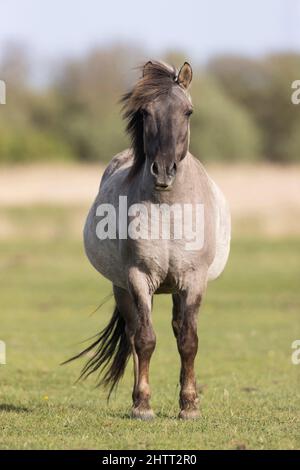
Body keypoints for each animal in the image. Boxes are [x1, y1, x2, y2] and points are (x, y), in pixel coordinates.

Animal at [69, 60, 231, 420]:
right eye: (145, 112)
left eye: (188, 112)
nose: (164, 171)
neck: (168, 208)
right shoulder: (138, 277)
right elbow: (145, 340)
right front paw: (143, 405)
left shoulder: (193, 280)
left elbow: (188, 340)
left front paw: (190, 406)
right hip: (123, 288)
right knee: (133, 335)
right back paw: (136, 398)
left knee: (176, 328)